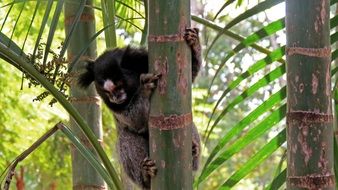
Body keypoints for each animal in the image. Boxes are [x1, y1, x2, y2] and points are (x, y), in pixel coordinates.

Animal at [78, 27, 202, 189]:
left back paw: (193, 153)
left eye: (119, 85)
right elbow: (135, 121)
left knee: (188, 123)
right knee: (126, 137)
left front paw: (194, 43)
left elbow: (190, 76)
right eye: (106, 92)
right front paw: (144, 89)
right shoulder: (116, 108)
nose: (115, 97)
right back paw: (145, 175)